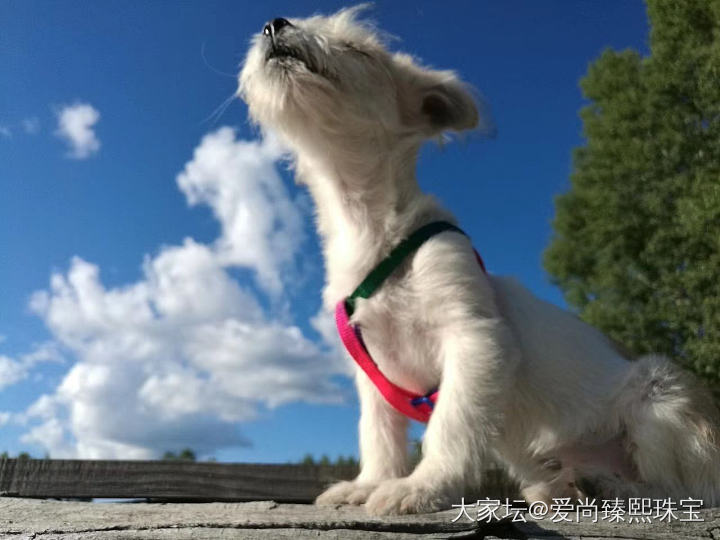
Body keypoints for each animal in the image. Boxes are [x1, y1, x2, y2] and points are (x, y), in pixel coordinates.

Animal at [239, 7, 716, 516]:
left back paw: (617, 488)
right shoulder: (376, 375)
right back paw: (570, 487)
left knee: (687, 492)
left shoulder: (475, 337)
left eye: (358, 49)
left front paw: (423, 486)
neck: (370, 230)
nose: (274, 23)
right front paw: (370, 482)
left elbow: (451, 423)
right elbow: (379, 435)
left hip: (662, 399)